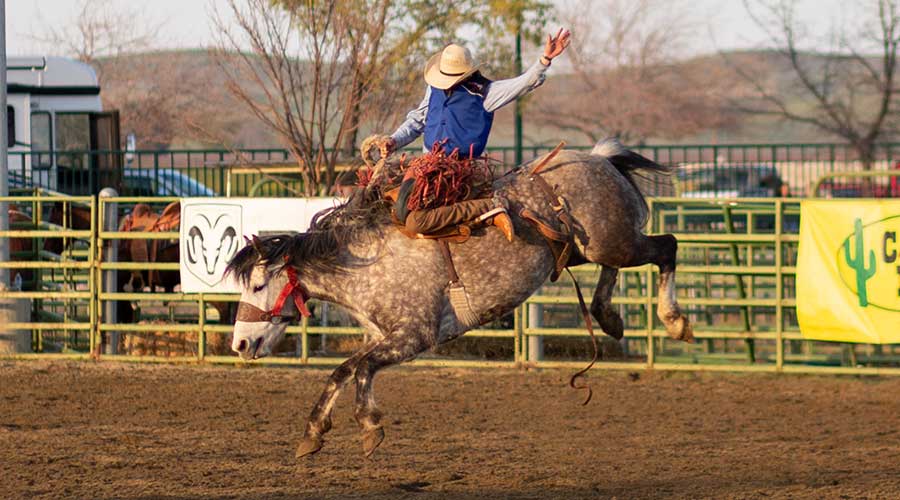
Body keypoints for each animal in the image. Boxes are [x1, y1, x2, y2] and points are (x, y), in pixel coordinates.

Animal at [229, 139, 692, 458]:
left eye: (257, 285)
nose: (239, 344)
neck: (367, 259)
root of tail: (600, 158)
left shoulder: (414, 337)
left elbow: (359, 369)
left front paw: (369, 426)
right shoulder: (381, 337)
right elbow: (343, 370)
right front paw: (314, 432)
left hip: (614, 243)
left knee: (667, 247)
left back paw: (674, 321)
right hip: (590, 249)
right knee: (617, 269)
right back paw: (608, 317)